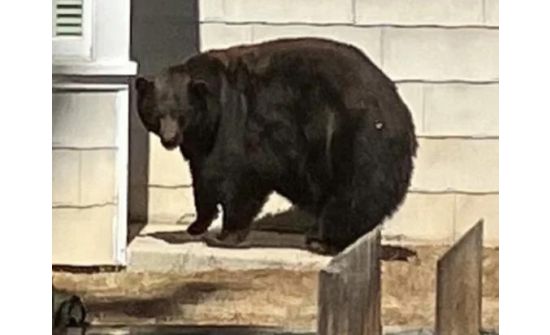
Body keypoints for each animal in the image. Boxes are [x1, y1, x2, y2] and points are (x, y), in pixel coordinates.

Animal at [137, 37, 418, 255]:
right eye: (157, 113)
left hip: (354, 137)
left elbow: (238, 177)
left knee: (354, 190)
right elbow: (203, 178)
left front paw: (225, 235)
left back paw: (323, 240)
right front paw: (196, 225)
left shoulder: (239, 124)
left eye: (181, 114)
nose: (169, 139)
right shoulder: (201, 142)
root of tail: (399, 109)